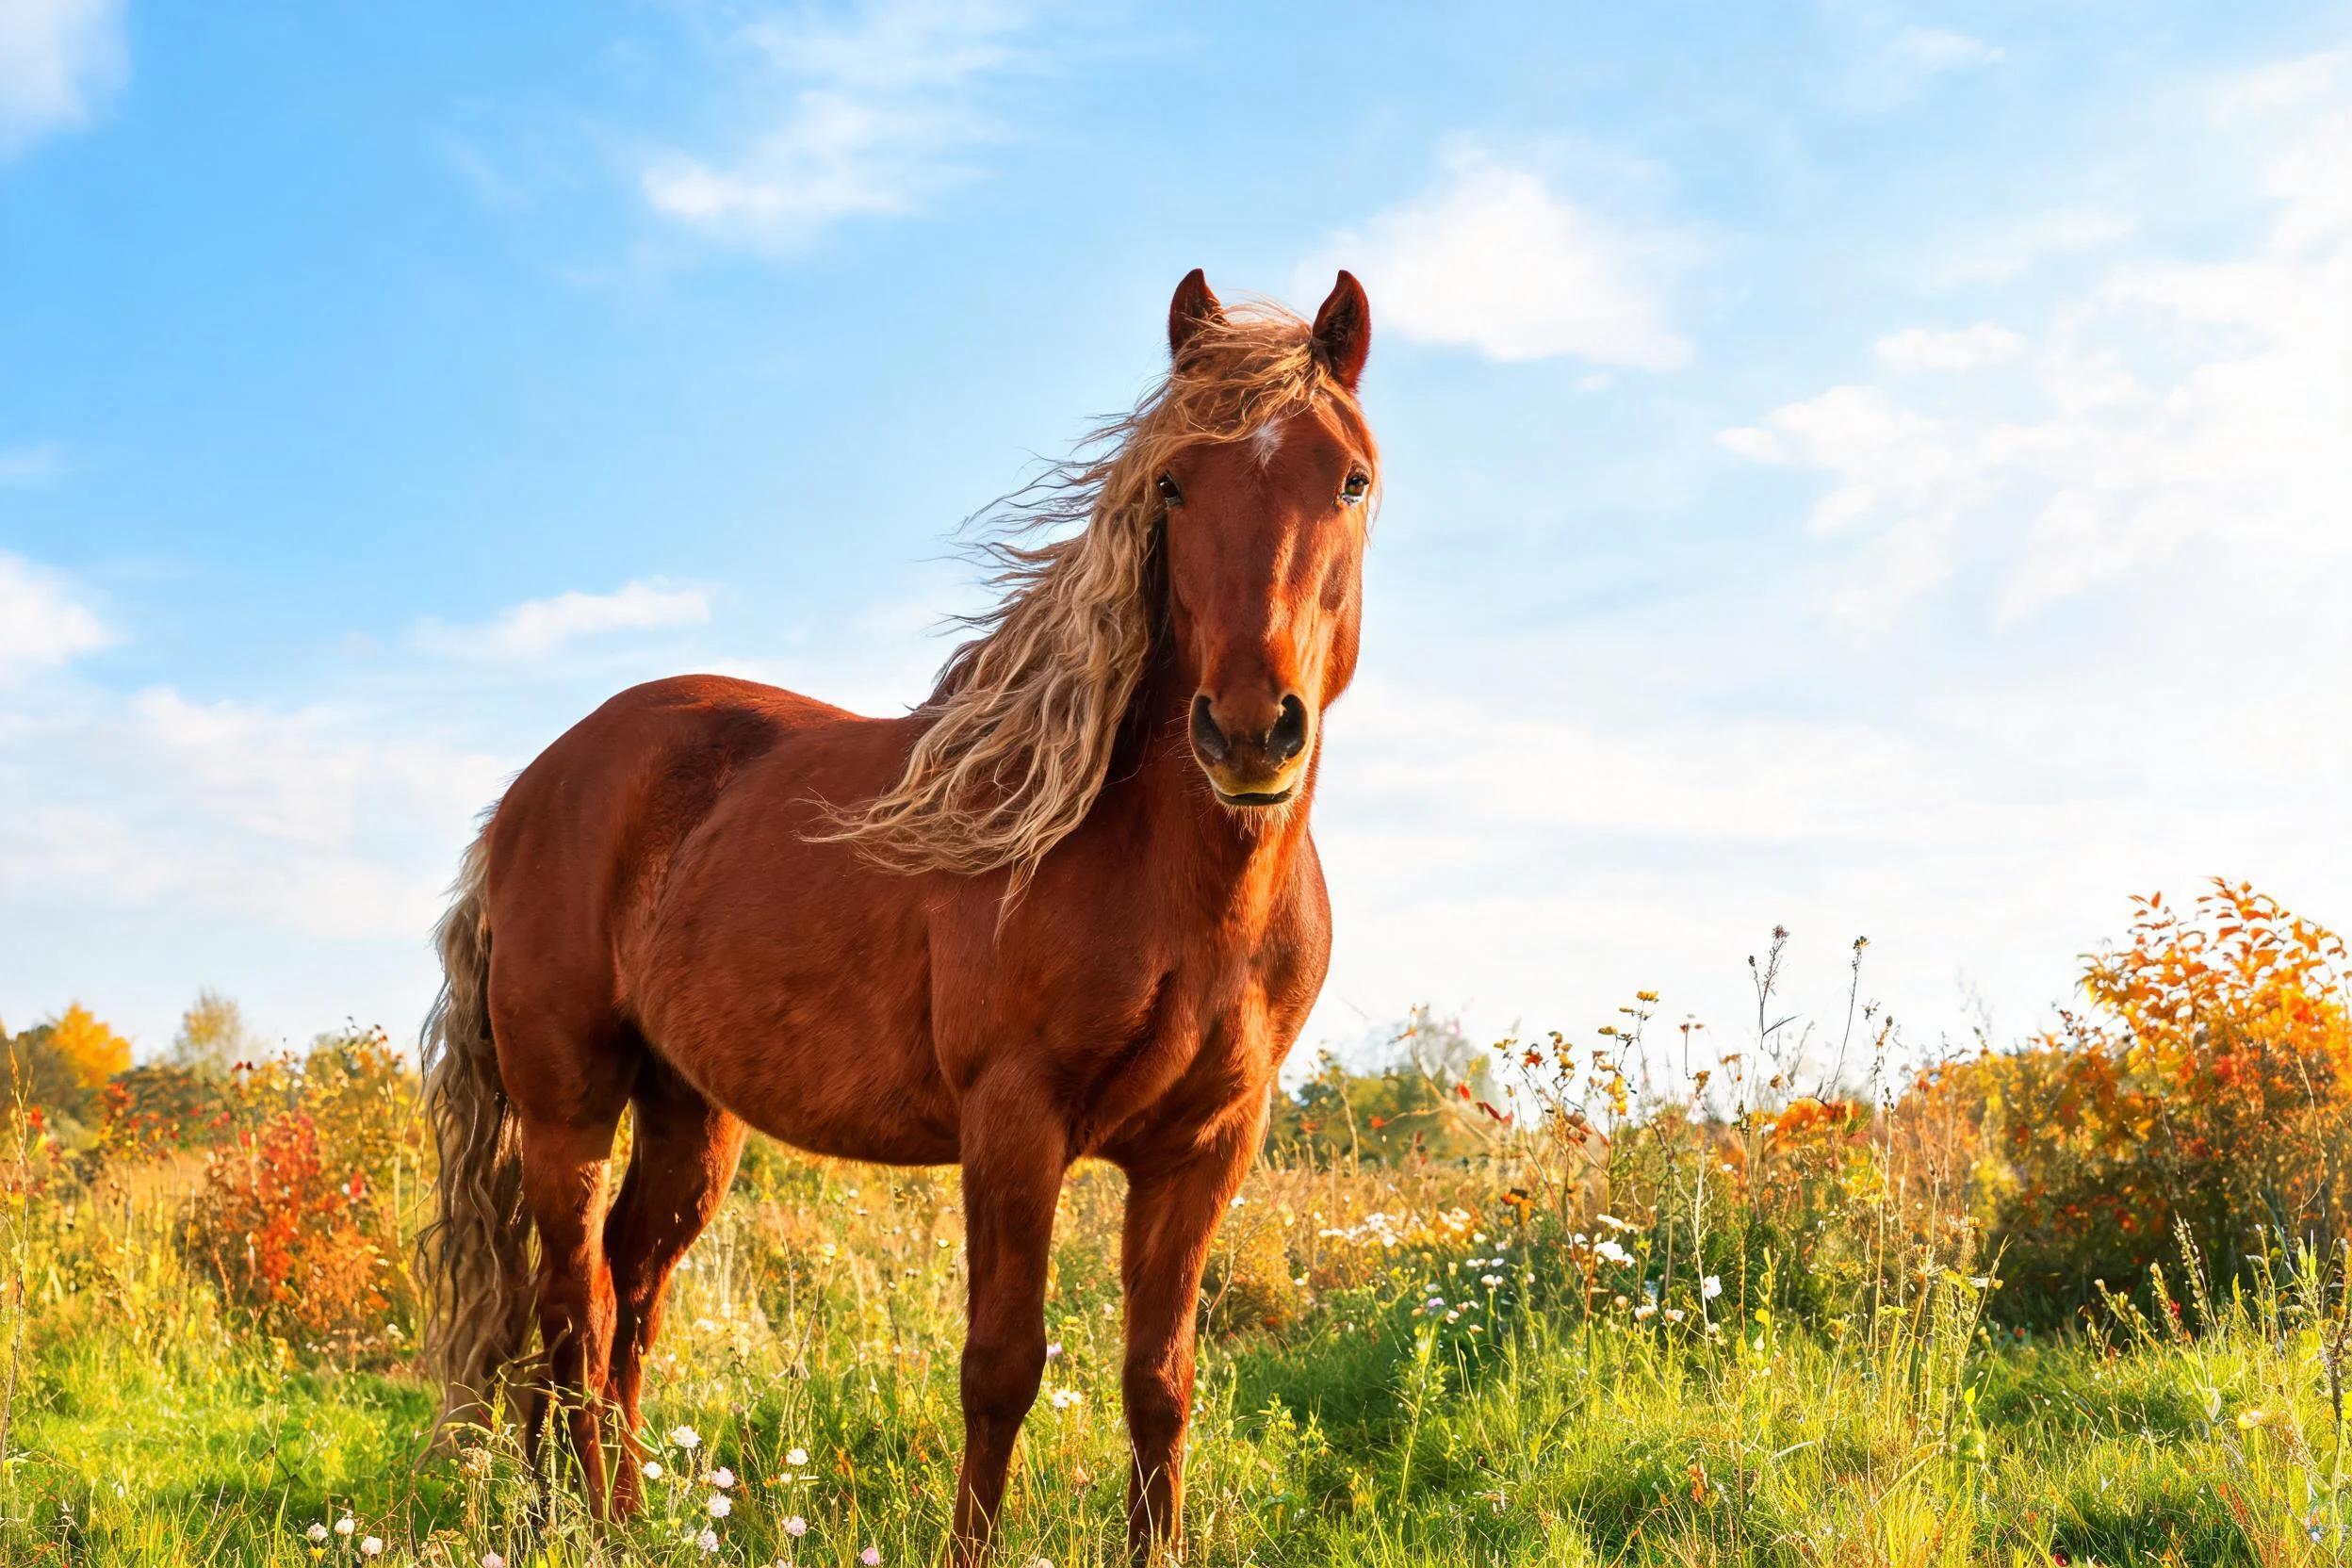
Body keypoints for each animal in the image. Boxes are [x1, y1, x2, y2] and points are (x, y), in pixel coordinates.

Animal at [418, 268, 1377, 1563]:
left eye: (1351, 478)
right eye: (1175, 483)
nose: (1247, 731)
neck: (1168, 881)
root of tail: (530, 790)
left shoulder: (1207, 1146)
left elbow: (1161, 1379)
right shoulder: (1015, 1125)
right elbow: (1002, 1366)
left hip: (689, 1118)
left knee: (626, 1294)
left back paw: (591, 1511)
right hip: (565, 1106)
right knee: (574, 1306)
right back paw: (592, 1523)